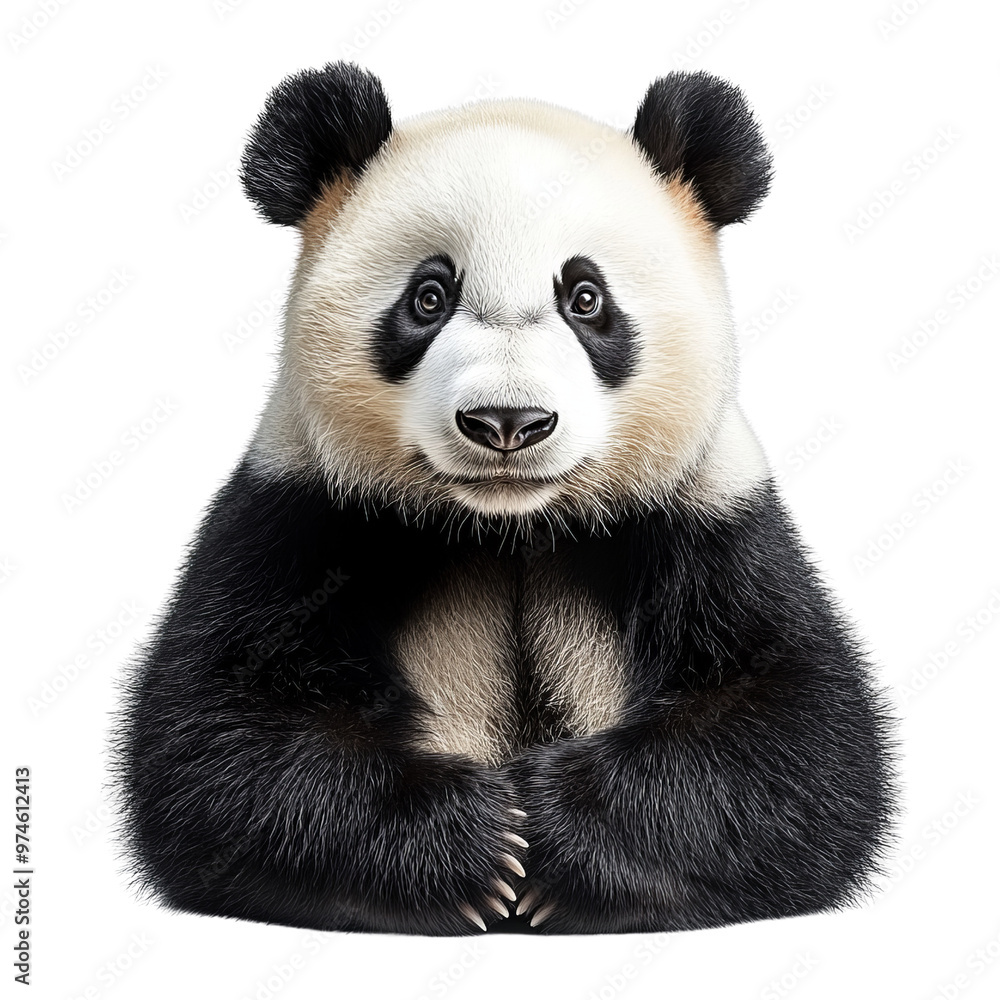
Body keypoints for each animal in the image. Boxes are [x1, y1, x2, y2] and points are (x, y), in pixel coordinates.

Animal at [115, 62, 895, 936]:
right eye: (428, 297)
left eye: (586, 298)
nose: (507, 422)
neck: (510, 525)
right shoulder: (304, 510)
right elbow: (218, 736)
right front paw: (473, 846)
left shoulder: (705, 514)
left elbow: (799, 738)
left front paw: (557, 832)